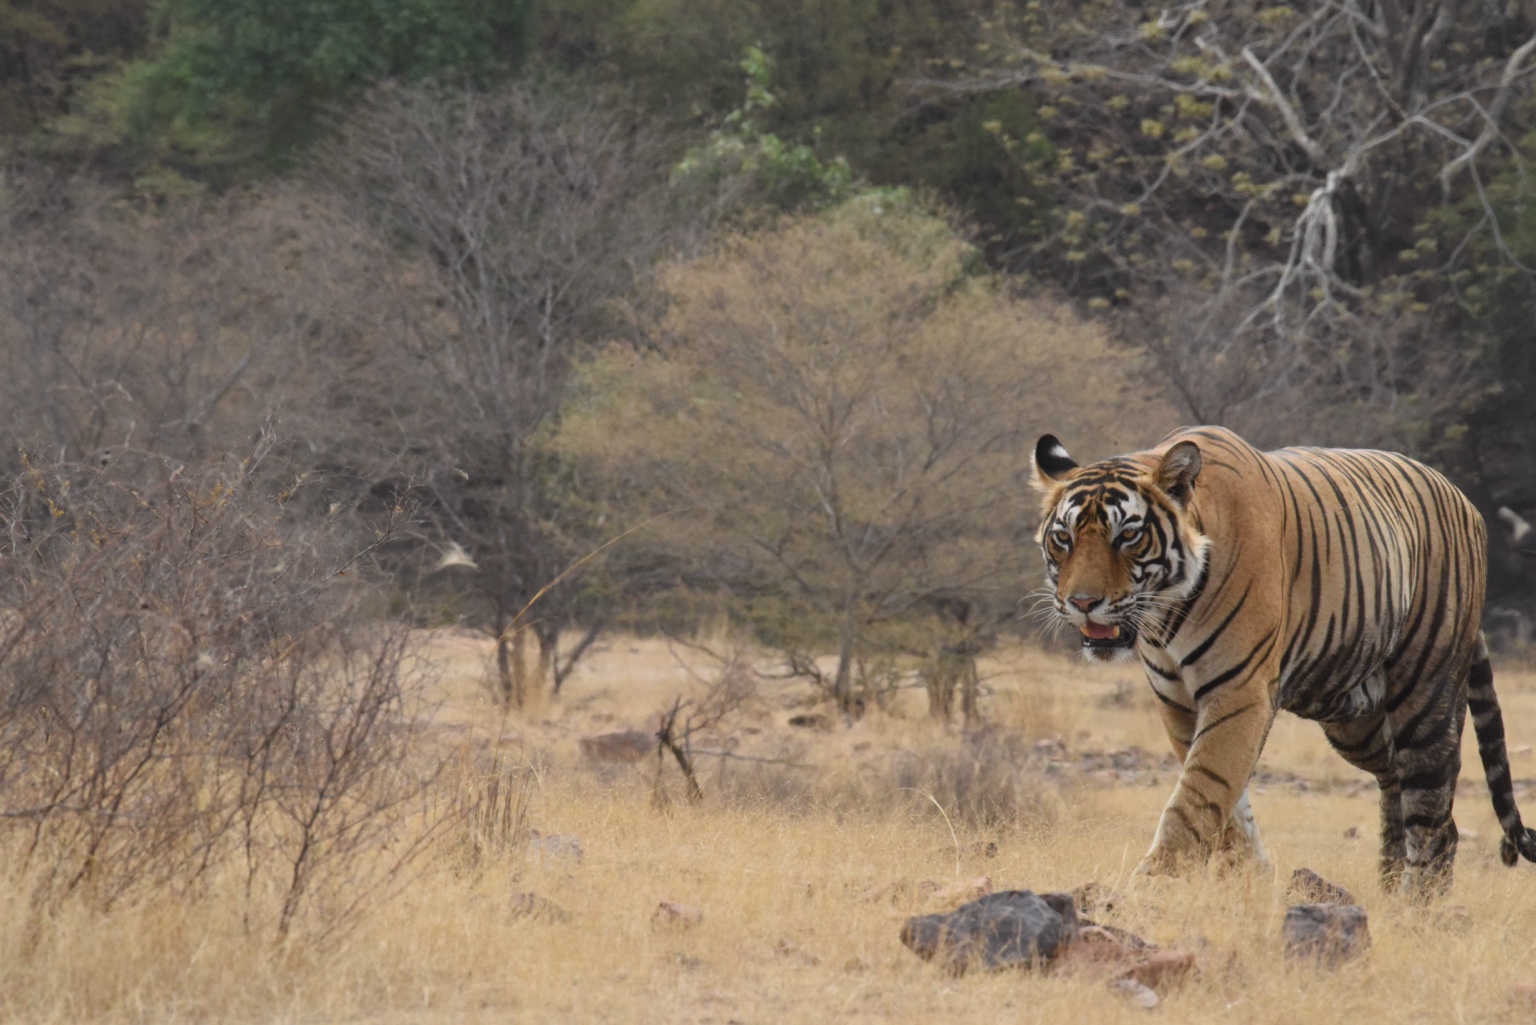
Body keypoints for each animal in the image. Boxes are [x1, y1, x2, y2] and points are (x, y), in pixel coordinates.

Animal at [1030, 425, 1536, 895]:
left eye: (1128, 536)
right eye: (1063, 539)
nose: (1083, 603)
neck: (1168, 615)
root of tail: (1464, 499)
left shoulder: (1238, 692)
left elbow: (1199, 790)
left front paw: (1154, 883)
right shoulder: (1177, 701)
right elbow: (1227, 803)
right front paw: (1248, 879)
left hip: (1425, 692)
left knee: (1432, 804)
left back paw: (1417, 906)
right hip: (1354, 720)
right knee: (1399, 783)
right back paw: (1390, 888)